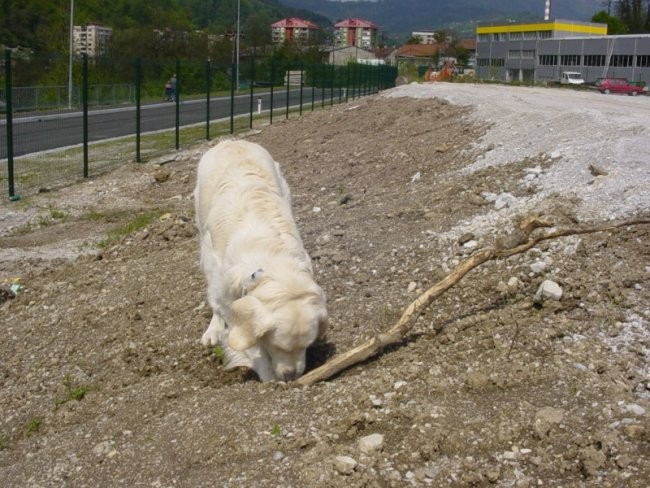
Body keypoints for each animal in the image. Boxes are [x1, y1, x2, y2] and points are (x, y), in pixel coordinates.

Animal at [191, 140, 324, 382]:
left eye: (306, 345)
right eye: (278, 346)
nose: (292, 376)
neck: (269, 256)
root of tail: (231, 140)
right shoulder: (226, 295)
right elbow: (248, 341)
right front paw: (269, 377)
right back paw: (212, 331)